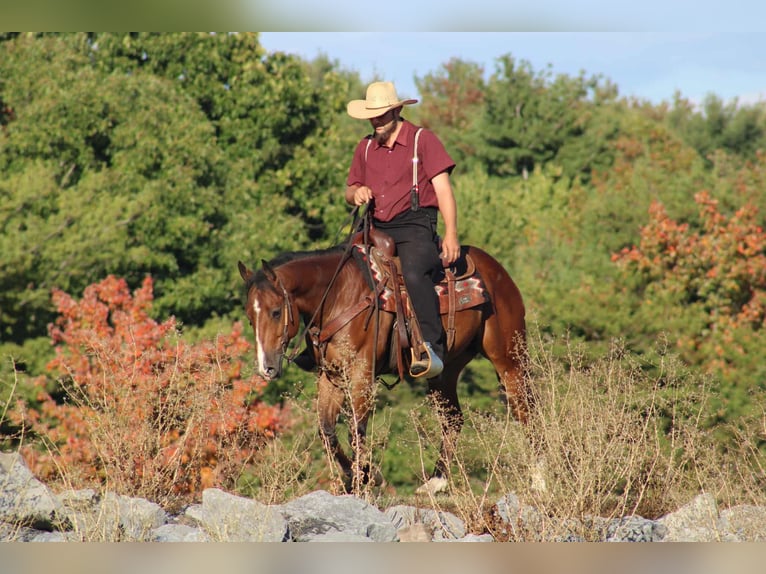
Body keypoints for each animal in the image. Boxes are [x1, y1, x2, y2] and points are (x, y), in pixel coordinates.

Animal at [237, 230, 530, 494]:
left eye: (276, 312)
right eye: (250, 318)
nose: (267, 368)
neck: (339, 295)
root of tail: (496, 270)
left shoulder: (361, 372)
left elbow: (356, 429)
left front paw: (367, 477)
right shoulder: (332, 375)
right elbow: (327, 430)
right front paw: (355, 477)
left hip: (508, 358)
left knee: (524, 411)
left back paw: (534, 475)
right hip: (446, 370)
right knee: (453, 419)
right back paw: (436, 482)